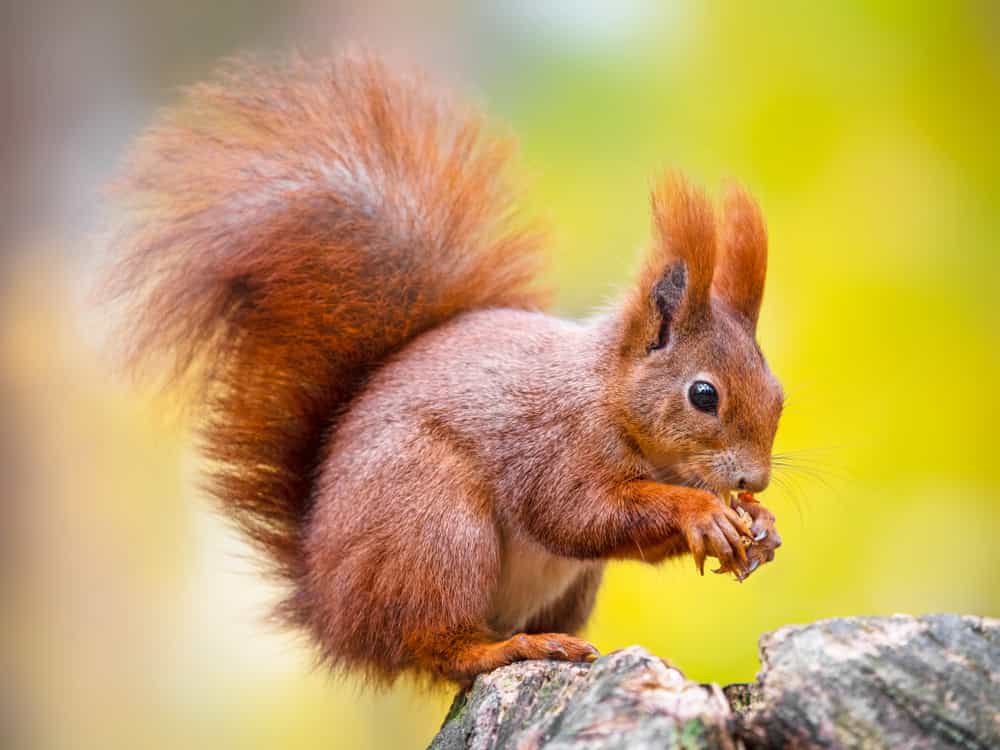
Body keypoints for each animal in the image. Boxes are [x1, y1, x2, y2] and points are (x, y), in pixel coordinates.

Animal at [105, 49, 784, 687]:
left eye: (778, 394)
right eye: (703, 395)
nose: (754, 480)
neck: (609, 397)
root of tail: (328, 609)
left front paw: (759, 525)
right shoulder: (556, 445)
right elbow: (575, 514)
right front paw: (702, 512)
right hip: (435, 527)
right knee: (439, 645)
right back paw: (513, 648)